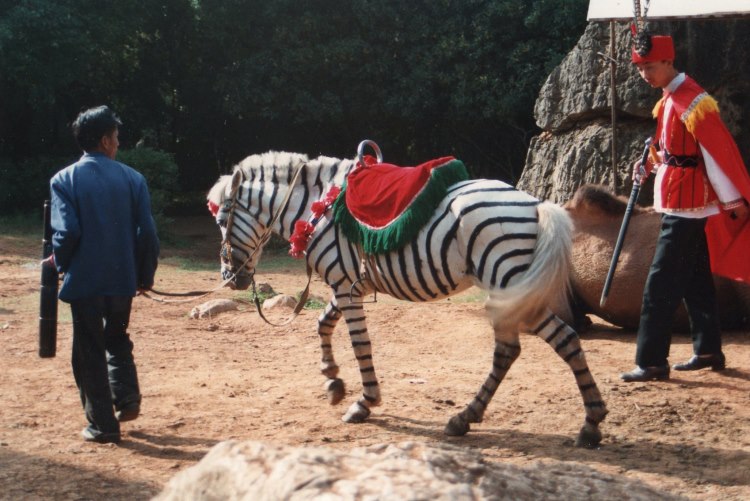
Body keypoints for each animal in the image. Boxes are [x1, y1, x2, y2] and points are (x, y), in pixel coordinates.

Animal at [209, 148, 608, 446]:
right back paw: (469, 418)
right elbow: (323, 324)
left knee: (550, 341)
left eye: (222, 221)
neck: (317, 209)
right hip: (509, 286)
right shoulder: (348, 283)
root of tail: (536, 204)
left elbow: (359, 344)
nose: (229, 278)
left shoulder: (345, 286)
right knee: (525, 347)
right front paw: (333, 381)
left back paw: (588, 424)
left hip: (508, 280)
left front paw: (364, 403)